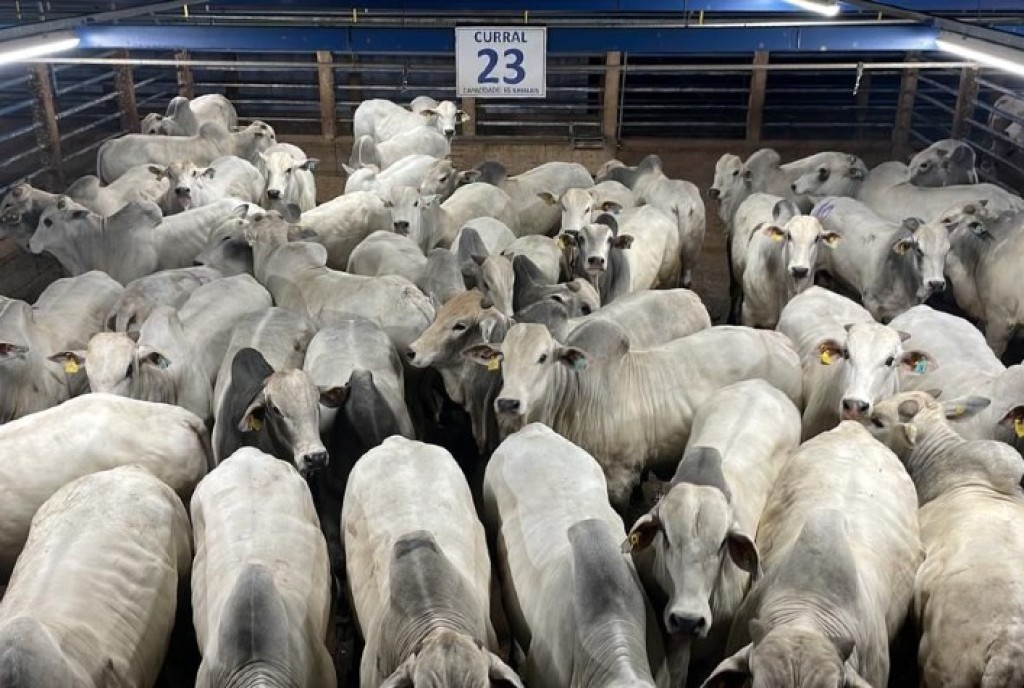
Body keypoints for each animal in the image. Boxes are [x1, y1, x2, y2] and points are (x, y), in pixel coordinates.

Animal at [464, 321, 802, 508]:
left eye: (543, 357)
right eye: (502, 357)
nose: (508, 403)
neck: (578, 398)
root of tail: (782, 343)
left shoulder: (620, 478)